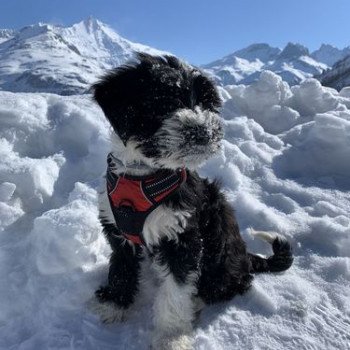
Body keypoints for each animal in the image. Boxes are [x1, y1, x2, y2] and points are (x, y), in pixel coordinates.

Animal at [90, 54, 292, 350]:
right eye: (164, 101)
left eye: (206, 104)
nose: (203, 131)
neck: (144, 176)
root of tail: (246, 258)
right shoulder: (118, 230)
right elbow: (121, 267)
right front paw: (115, 304)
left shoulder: (183, 236)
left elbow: (176, 290)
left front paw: (170, 337)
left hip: (221, 255)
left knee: (231, 284)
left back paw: (197, 302)